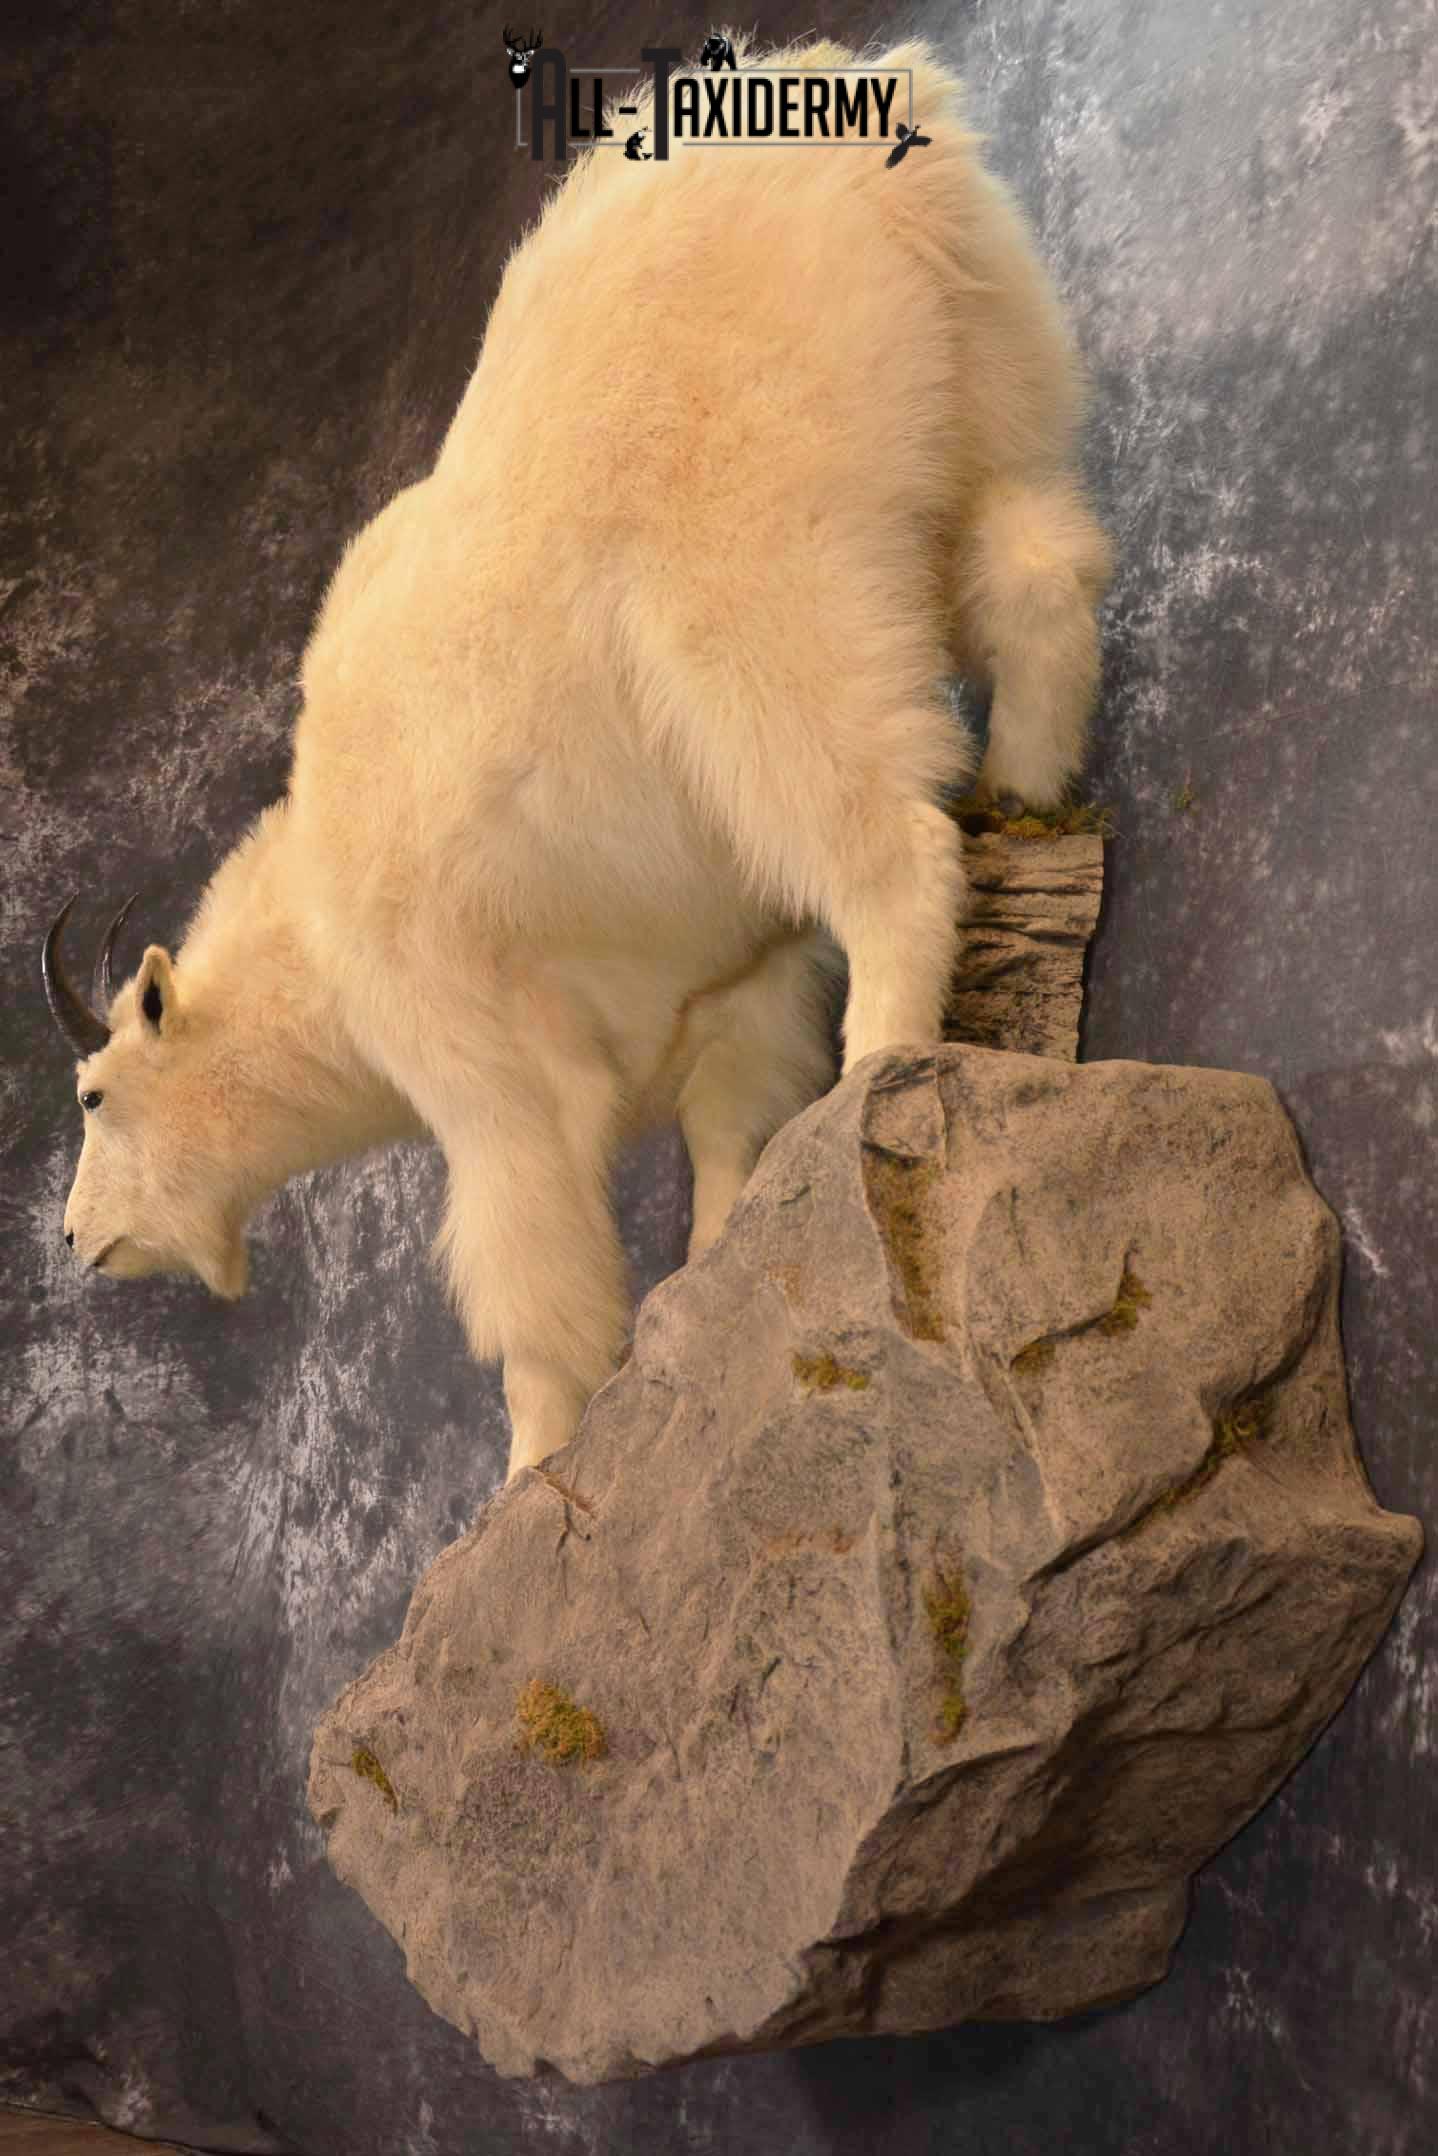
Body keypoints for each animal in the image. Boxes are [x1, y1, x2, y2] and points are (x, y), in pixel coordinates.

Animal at [44, 36, 1112, 1479]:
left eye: (96, 1094)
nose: (75, 1236)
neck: (314, 936)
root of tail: (880, 131)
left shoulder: (459, 1024)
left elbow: (528, 1236)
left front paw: (532, 1464)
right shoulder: (721, 972)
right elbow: (725, 1112)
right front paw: (722, 1268)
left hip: (751, 559)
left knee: (866, 812)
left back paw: (880, 1066)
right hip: (988, 364)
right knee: (1033, 557)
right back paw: (1028, 787)